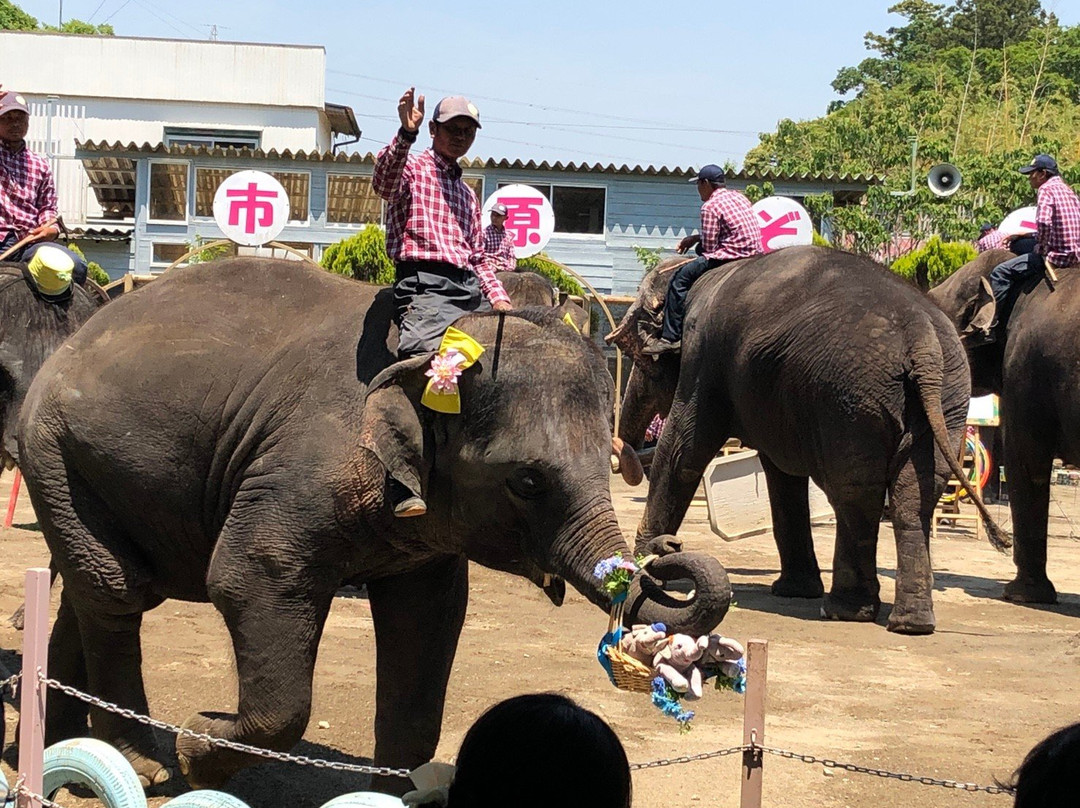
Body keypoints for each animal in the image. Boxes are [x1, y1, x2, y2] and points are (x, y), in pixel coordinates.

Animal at [16, 258, 732, 791]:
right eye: (528, 482)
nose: (668, 550)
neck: (437, 350)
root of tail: (75, 338)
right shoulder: (299, 470)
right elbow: (250, 579)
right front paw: (196, 745)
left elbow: (428, 618)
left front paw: (393, 792)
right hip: (53, 450)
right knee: (118, 592)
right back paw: (140, 766)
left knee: (97, 589)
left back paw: (58, 742)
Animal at [607, 246, 1008, 635]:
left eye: (643, 363)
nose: (669, 547)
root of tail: (922, 339)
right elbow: (781, 475)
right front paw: (794, 590)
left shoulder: (703, 359)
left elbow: (684, 449)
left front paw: (649, 567)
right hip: (943, 396)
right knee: (913, 495)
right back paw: (910, 624)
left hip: (850, 398)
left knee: (855, 492)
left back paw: (846, 611)